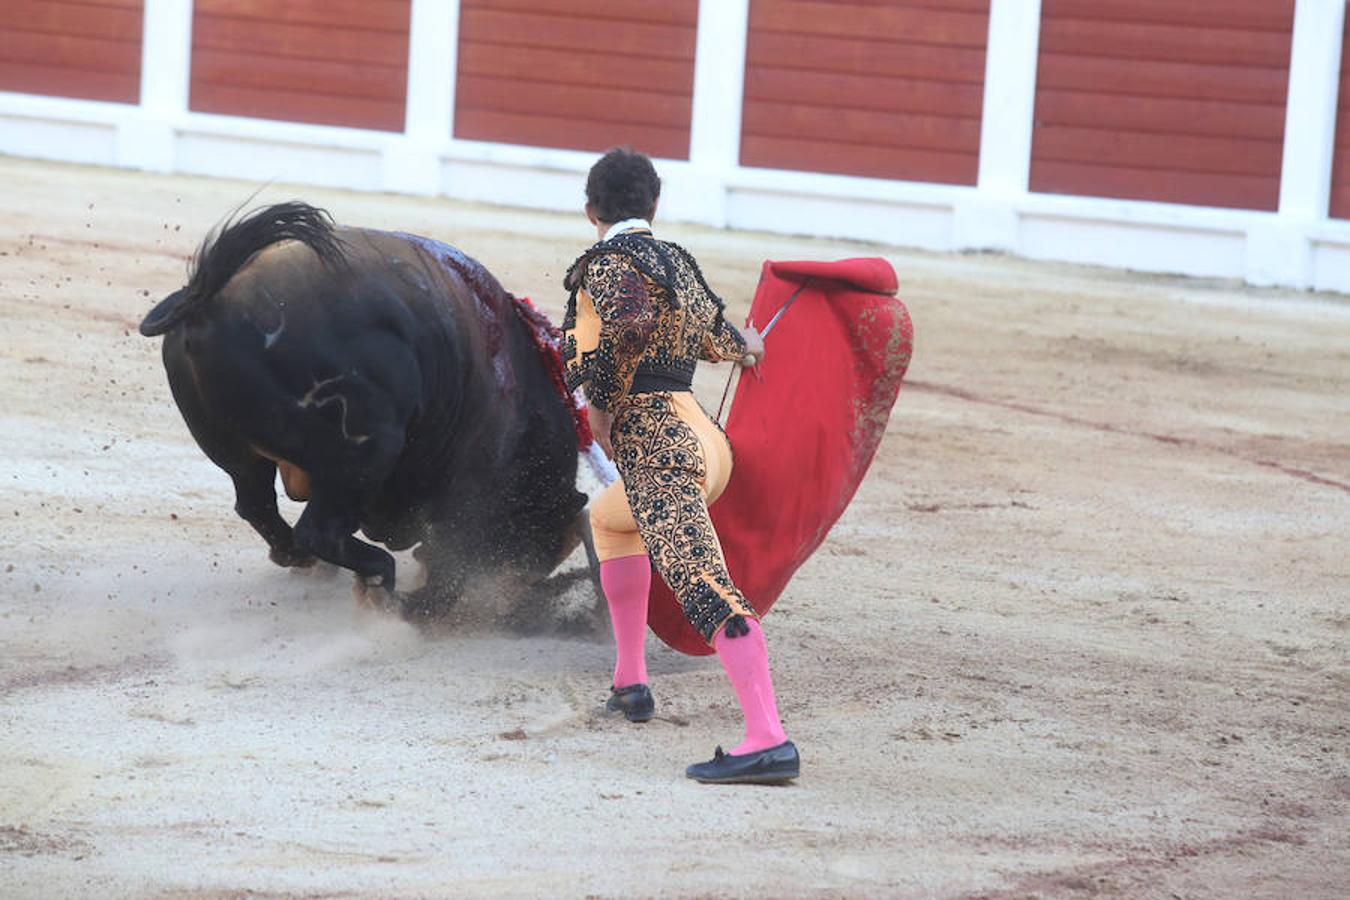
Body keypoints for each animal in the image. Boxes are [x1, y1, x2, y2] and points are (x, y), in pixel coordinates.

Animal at [138, 201, 591, 615]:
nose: (513, 599)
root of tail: (210, 297)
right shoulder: (469, 496)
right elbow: (451, 562)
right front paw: (420, 611)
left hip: (238, 453)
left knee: (258, 506)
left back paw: (305, 561)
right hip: (366, 449)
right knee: (319, 531)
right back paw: (378, 582)